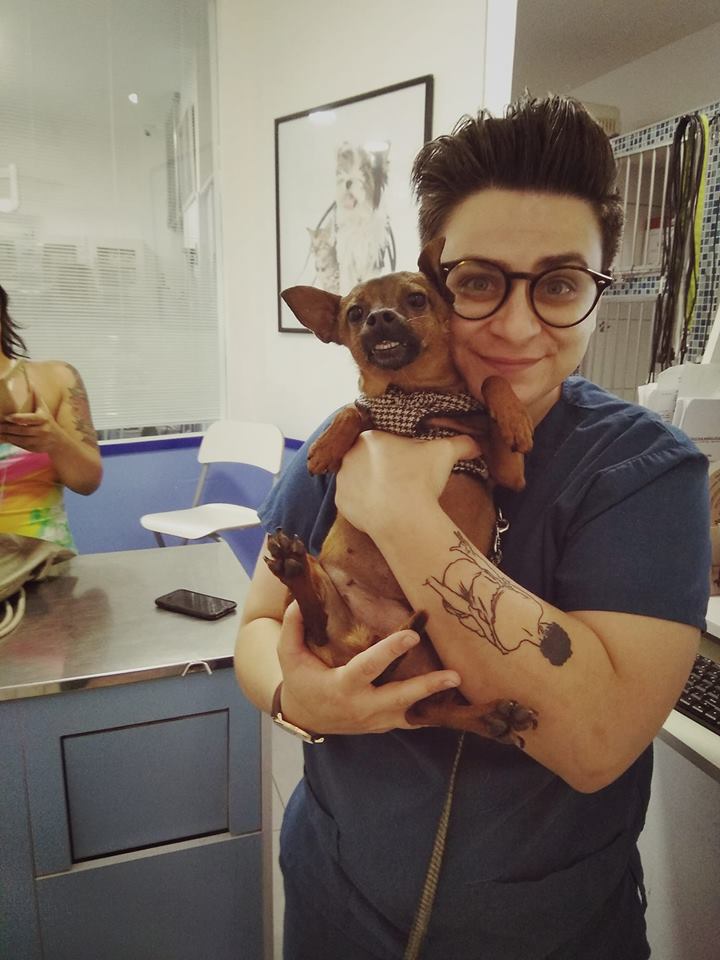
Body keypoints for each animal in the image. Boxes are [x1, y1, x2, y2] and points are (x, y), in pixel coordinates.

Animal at [266, 238, 539, 745]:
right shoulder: (376, 410)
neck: (414, 396)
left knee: (426, 709)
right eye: (354, 313)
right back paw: (293, 566)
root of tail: (360, 642)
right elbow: (354, 409)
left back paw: (491, 718)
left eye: (416, 299)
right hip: (351, 606)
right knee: (318, 628)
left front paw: (513, 418)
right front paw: (327, 445)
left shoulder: (510, 472)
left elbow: (492, 381)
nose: (380, 318)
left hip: (429, 647)